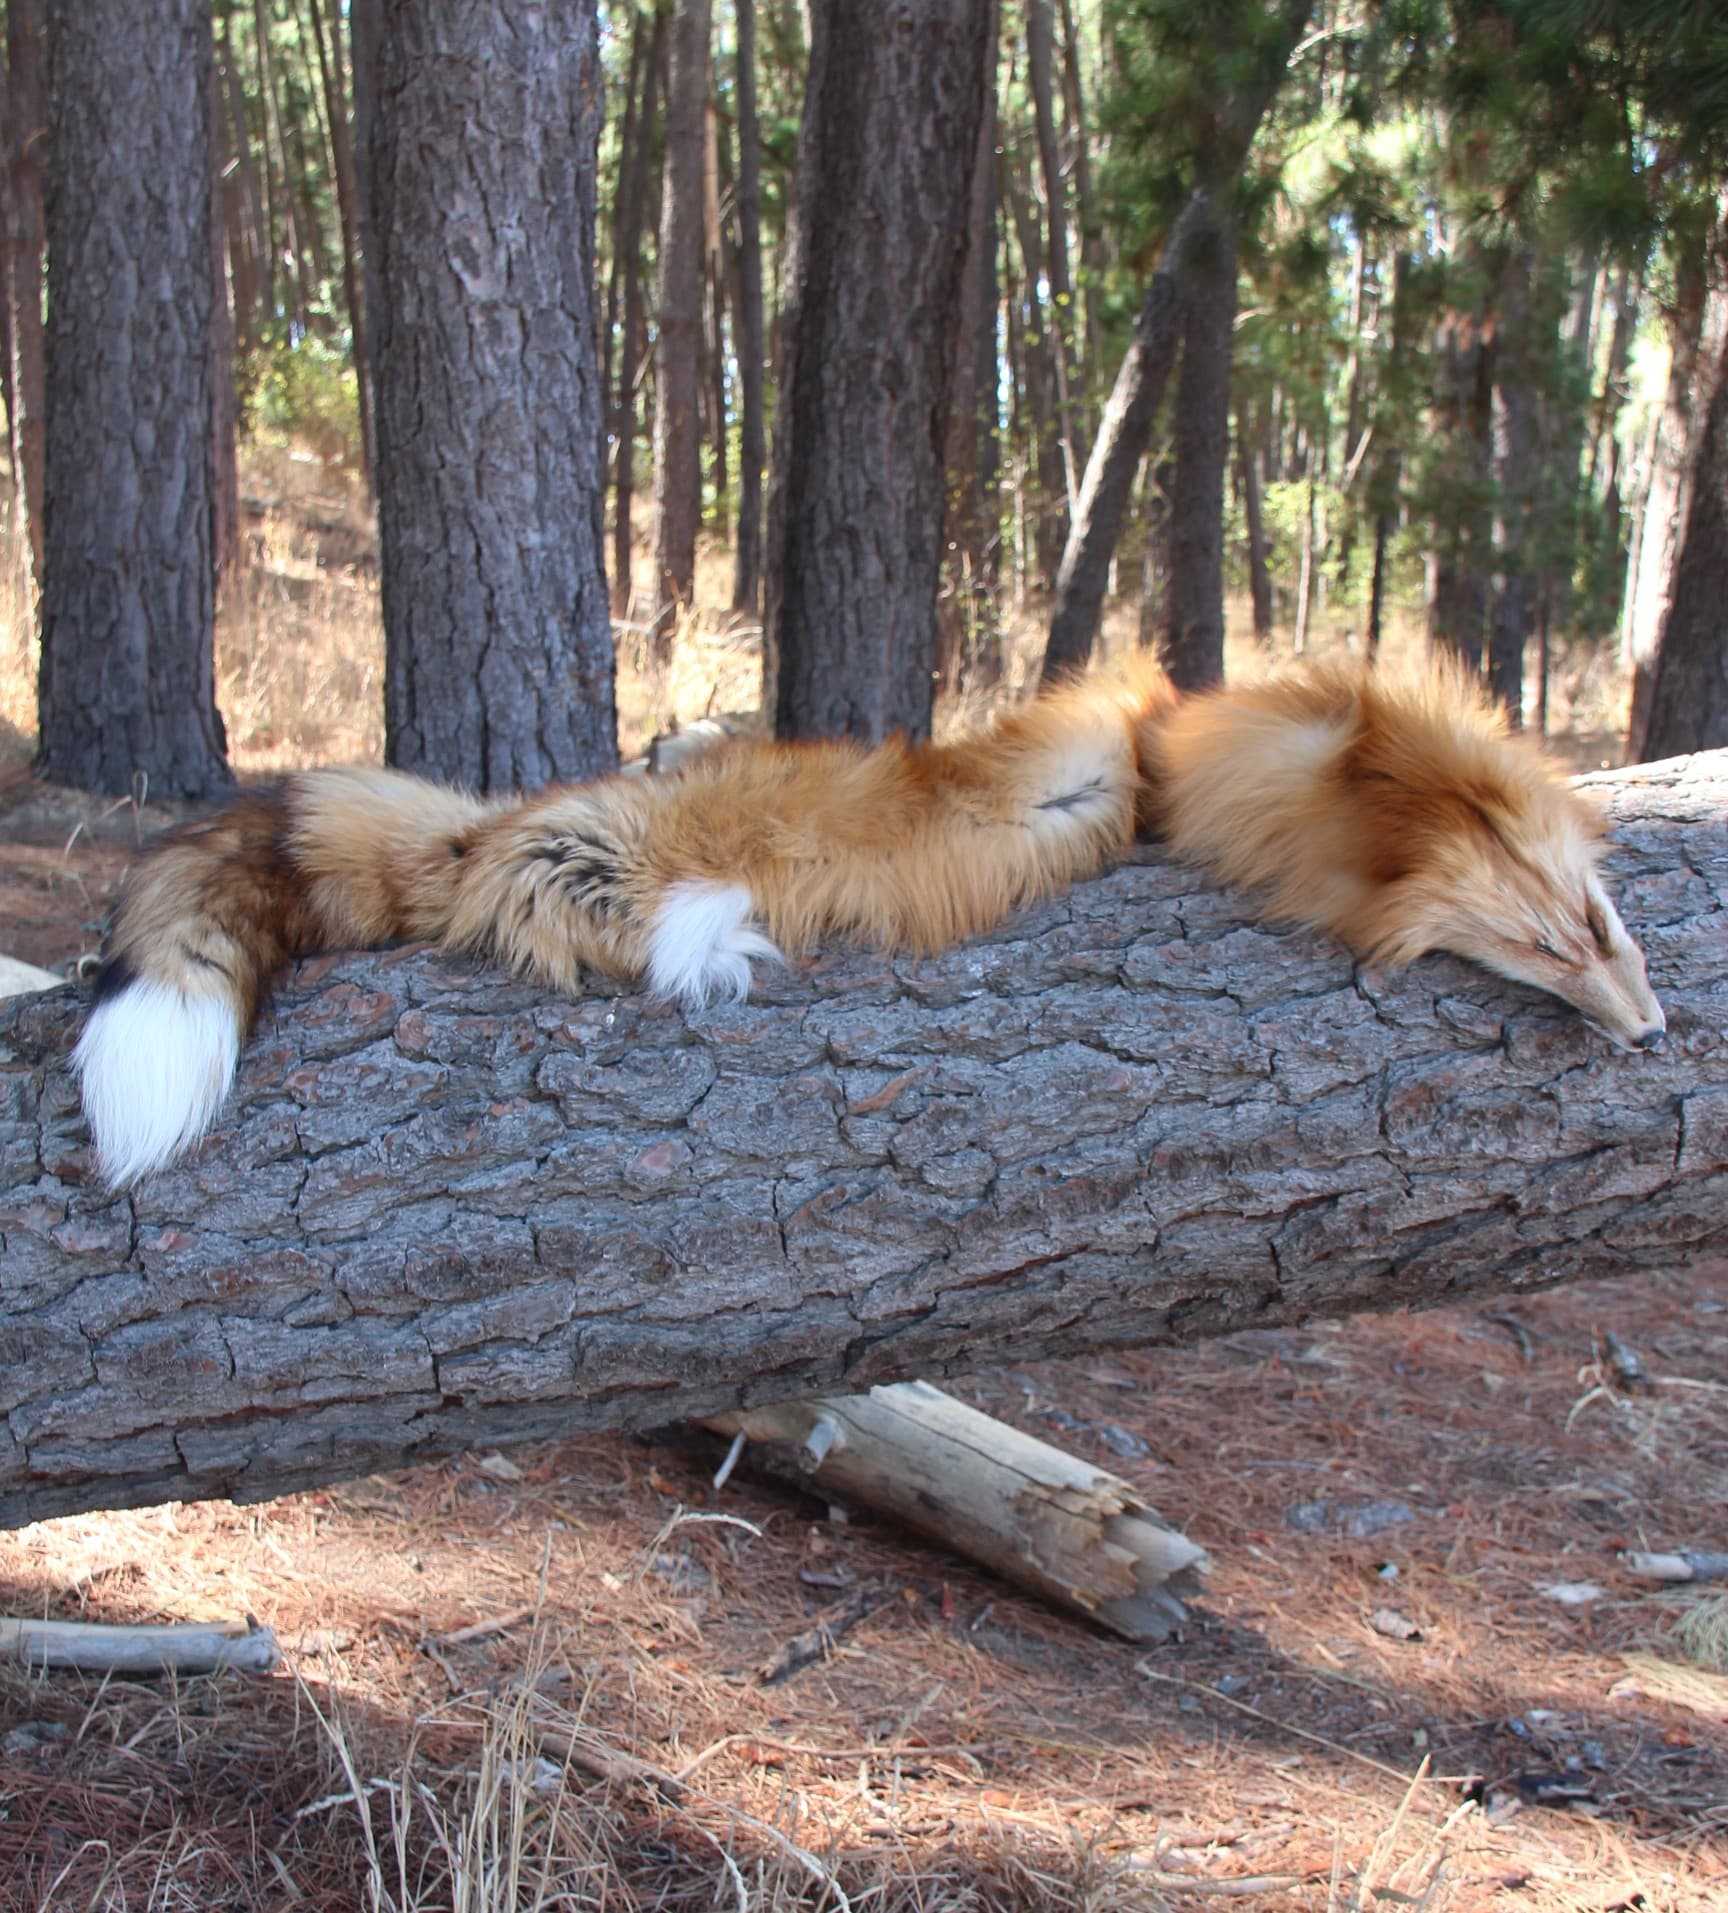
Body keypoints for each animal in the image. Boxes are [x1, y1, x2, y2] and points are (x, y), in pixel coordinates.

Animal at [73, 654, 1664, 1188]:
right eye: (1561, 940)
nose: (1654, 1035)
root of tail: (483, 821)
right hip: (588, 859)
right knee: (583, 917)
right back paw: (709, 926)